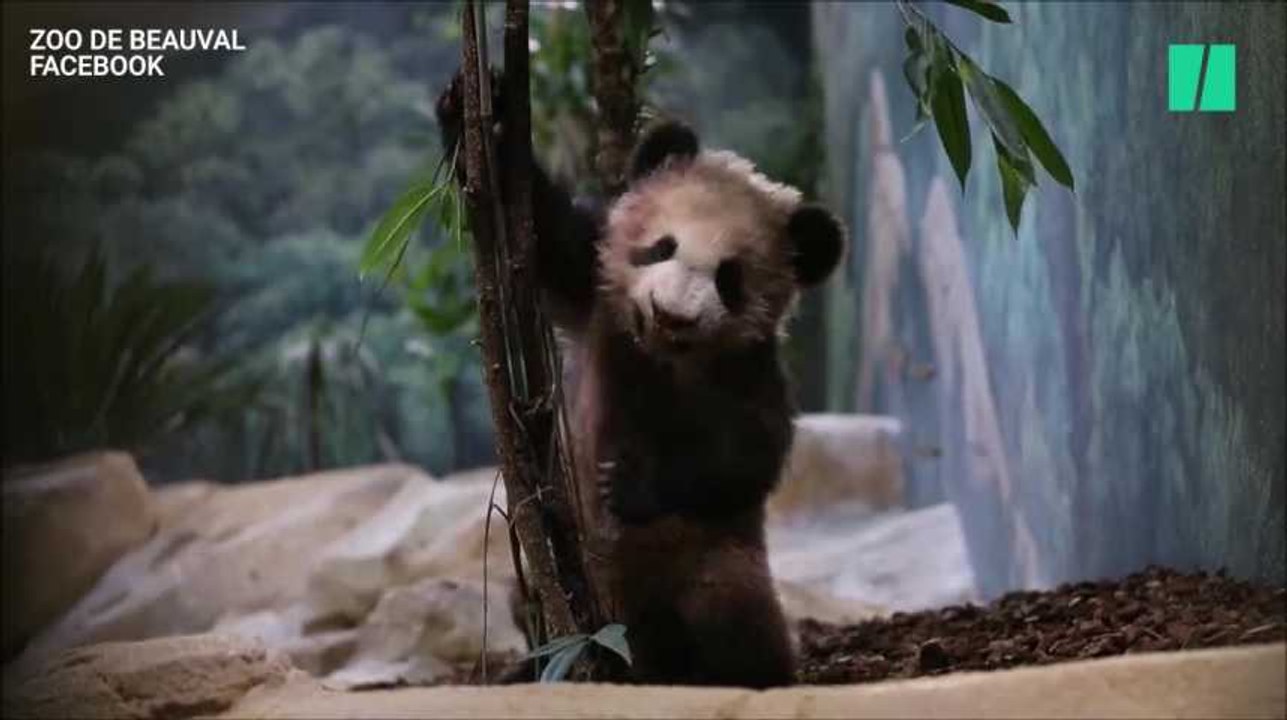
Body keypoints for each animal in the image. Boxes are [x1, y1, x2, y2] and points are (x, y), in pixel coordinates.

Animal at [437, 72, 846, 688]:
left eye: (729, 278)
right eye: (662, 247)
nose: (670, 313)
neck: (660, 353)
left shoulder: (748, 370)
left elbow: (748, 457)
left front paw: (628, 482)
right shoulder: (597, 298)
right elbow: (541, 232)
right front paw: (472, 107)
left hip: (710, 556)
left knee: (732, 608)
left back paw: (745, 673)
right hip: (566, 580)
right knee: (530, 601)